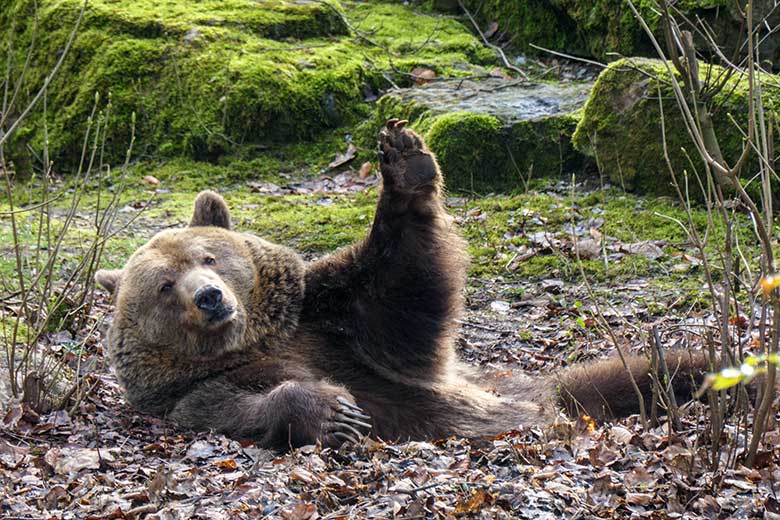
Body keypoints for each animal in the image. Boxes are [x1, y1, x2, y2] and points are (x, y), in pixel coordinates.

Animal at [96, 122, 708, 450]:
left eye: (211, 257)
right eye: (165, 286)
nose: (210, 297)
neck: (255, 340)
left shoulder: (333, 314)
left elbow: (400, 281)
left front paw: (406, 162)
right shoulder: (195, 395)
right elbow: (246, 409)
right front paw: (333, 411)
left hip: (537, 385)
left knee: (660, 369)